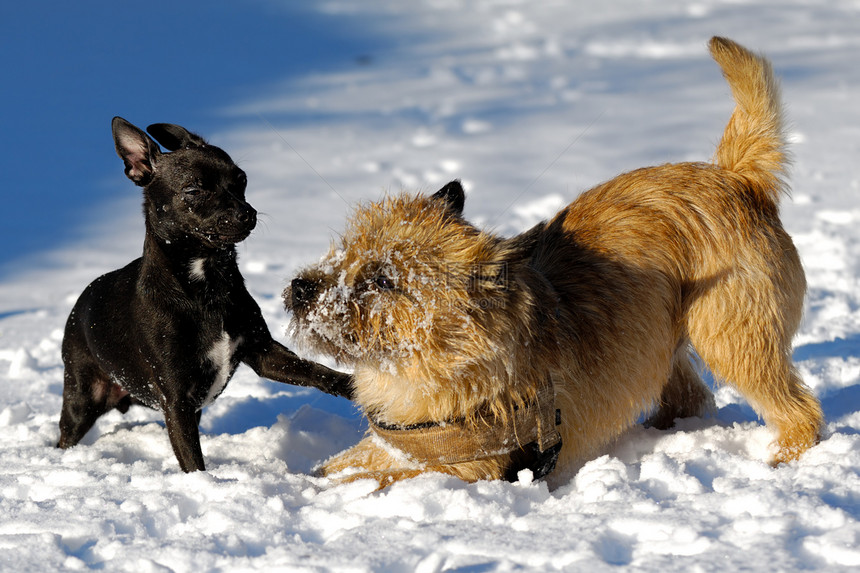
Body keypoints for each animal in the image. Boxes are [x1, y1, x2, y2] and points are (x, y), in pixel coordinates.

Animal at [58, 118, 352, 472]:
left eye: (241, 179)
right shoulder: (177, 401)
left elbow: (314, 371)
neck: (206, 283)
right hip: (81, 399)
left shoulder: (263, 352)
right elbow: (193, 461)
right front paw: (205, 483)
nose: (247, 213)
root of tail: (81, 302)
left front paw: (353, 386)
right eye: (193, 191)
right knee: (65, 435)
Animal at [286, 38, 824, 488]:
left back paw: (783, 456)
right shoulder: (402, 447)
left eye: (384, 280)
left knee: (799, 409)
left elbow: (374, 478)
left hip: (732, 336)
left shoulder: (466, 468)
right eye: (345, 251)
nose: (300, 288)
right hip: (658, 341)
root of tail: (735, 178)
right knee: (689, 398)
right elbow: (345, 463)